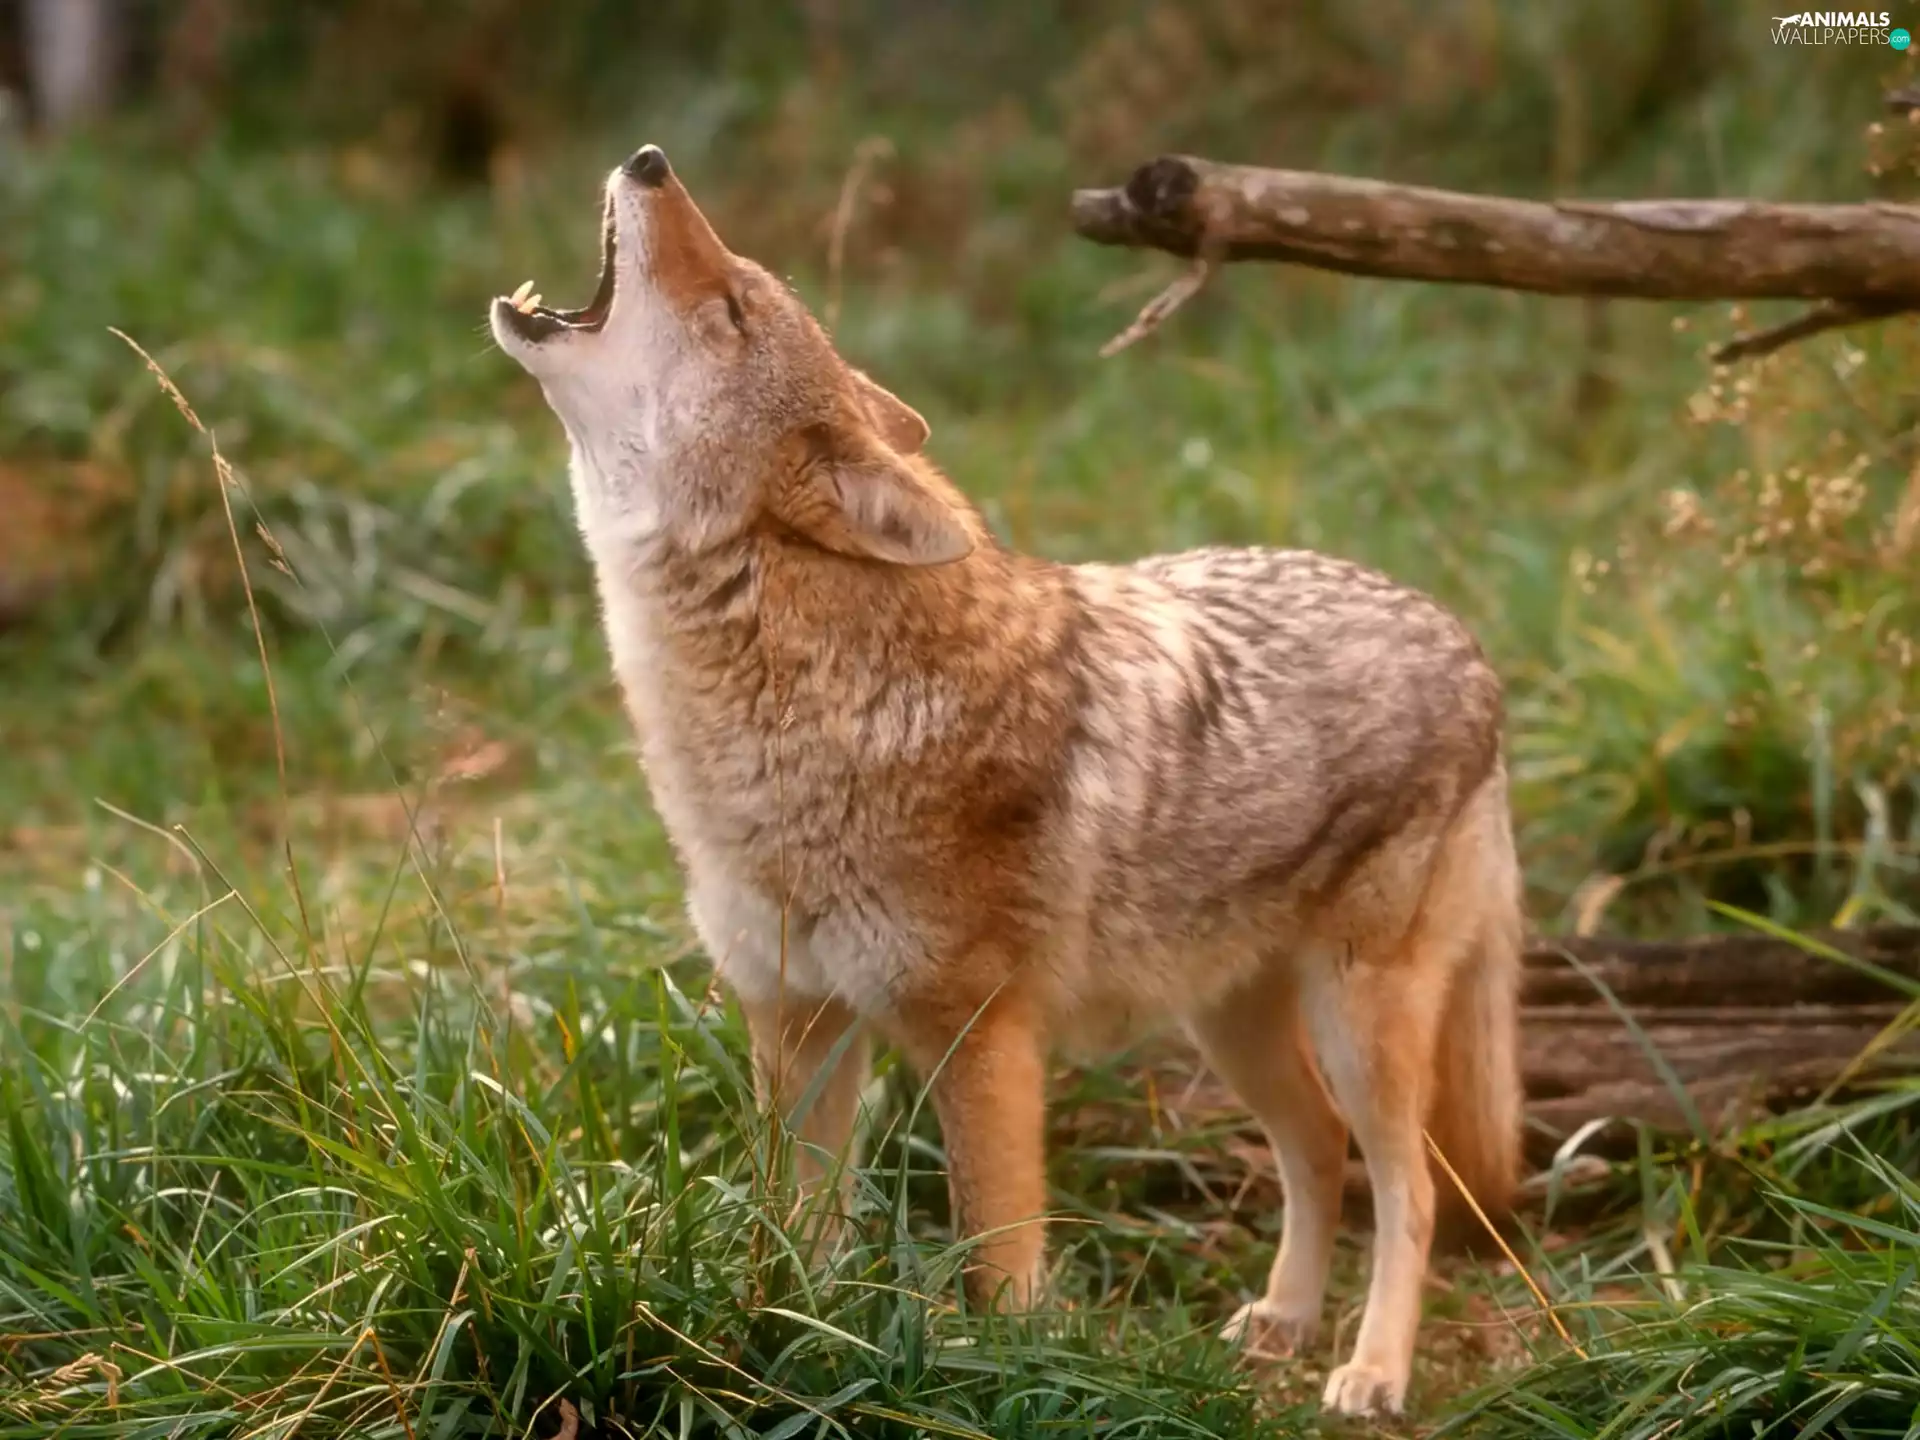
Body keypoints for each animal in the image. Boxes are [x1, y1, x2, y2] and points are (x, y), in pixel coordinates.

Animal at [489, 144, 1524, 1417]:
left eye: (733, 307)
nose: (649, 160)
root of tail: (1469, 644)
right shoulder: (797, 1024)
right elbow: (793, 1238)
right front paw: (783, 1350)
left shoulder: (980, 1040)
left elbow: (998, 1261)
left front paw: (1009, 1379)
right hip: (1234, 1027)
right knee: (1319, 1151)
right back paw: (1282, 1322)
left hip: (1357, 1025)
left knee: (1411, 1186)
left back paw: (1372, 1371)